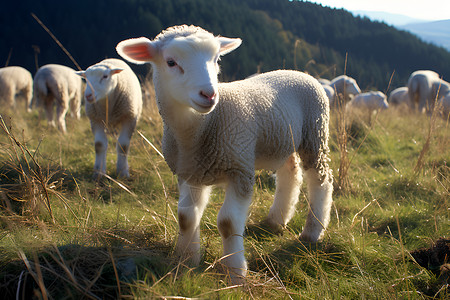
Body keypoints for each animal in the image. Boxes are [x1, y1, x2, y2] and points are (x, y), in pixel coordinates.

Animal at [116, 25, 334, 284]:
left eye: (216, 59)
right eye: (171, 62)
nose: (209, 95)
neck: (201, 129)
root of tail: (298, 72)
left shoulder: (239, 169)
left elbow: (228, 223)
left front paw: (235, 272)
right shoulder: (190, 172)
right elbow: (185, 217)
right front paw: (186, 260)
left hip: (315, 134)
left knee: (321, 180)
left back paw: (313, 231)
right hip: (281, 139)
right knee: (290, 174)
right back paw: (276, 220)